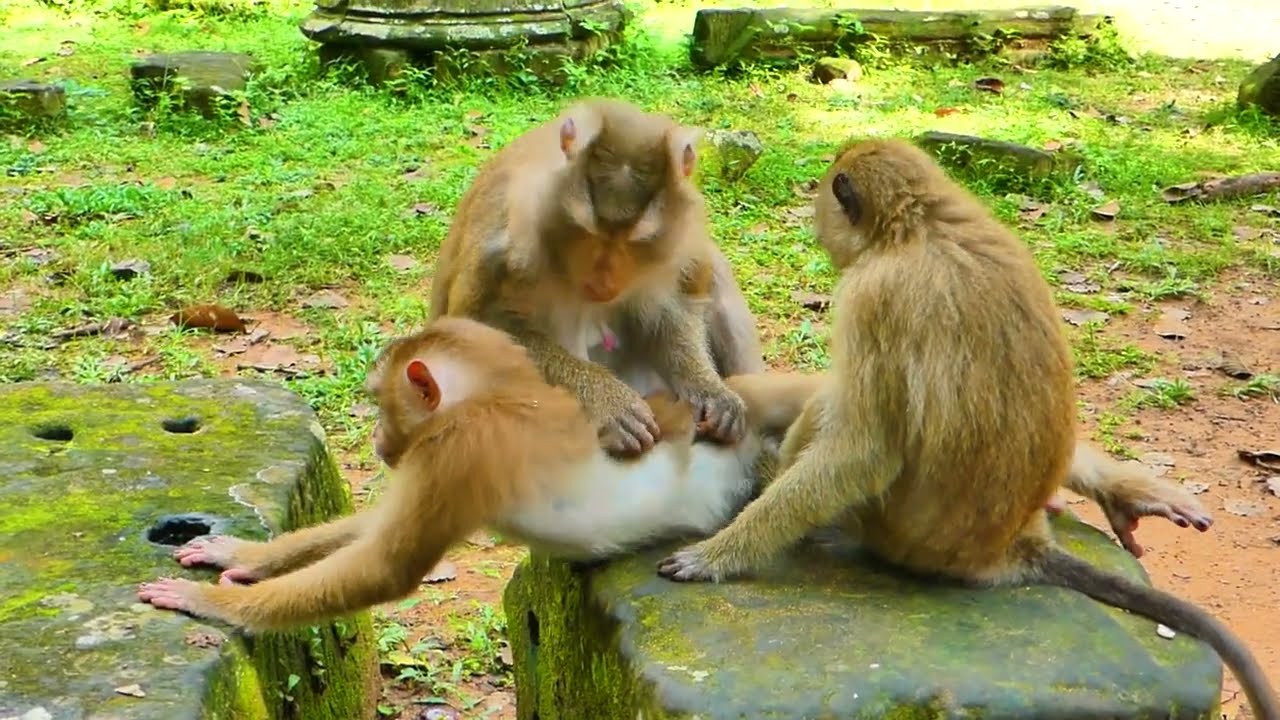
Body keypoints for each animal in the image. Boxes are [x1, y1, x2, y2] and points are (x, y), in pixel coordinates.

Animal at [136, 317, 818, 632]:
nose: (378, 438)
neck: (497, 396)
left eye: (380, 403)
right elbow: (378, 529)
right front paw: (241, 553)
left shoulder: (456, 448)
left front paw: (214, 604)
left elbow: (386, 564)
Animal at [428, 97, 762, 458]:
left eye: (636, 241)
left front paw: (707, 387)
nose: (602, 280)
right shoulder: (506, 240)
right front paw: (608, 403)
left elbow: (677, 306)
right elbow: (475, 331)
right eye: (589, 231)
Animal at [655, 138, 1279, 720]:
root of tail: (1013, 546)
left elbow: (863, 453)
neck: (920, 226)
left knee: (836, 412)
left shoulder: (871, 298)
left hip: (894, 531)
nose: (814, 214)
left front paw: (717, 556)